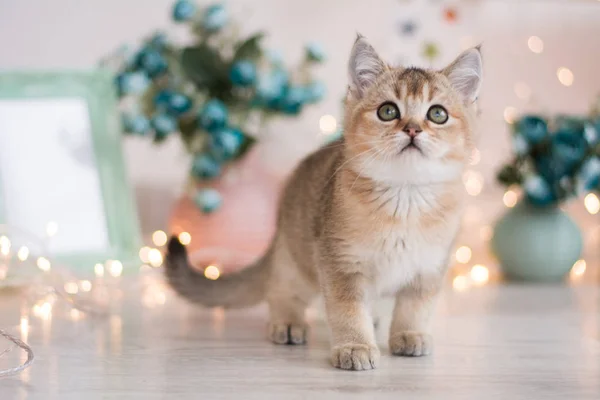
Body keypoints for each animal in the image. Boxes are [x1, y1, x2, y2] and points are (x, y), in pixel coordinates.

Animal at [165, 35, 482, 372]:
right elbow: (347, 309)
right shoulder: (340, 262)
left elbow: (415, 307)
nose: (412, 129)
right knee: (280, 290)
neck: (405, 200)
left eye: (437, 114)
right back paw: (288, 322)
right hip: (297, 261)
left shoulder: (428, 268)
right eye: (387, 111)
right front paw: (355, 346)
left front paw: (410, 334)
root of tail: (278, 232)